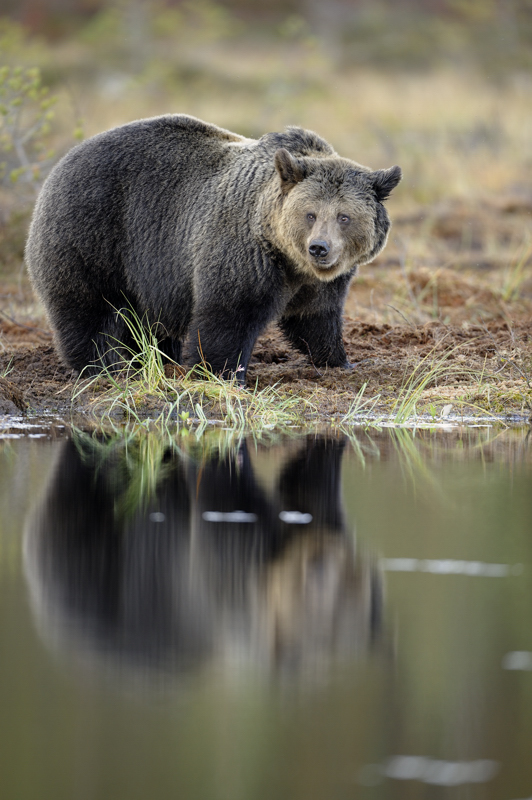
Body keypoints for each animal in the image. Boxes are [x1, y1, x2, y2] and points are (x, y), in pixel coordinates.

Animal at [23, 113, 400, 384]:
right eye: (310, 214)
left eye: (344, 217)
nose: (319, 248)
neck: (289, 261)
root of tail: (61, 163)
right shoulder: (244, 255)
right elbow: (228, 317)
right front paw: (221, 373)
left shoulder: (322, 282)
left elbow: (316, 318)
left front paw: (341, 361)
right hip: (92, 233)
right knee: (88, 309)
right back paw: (103, 366)